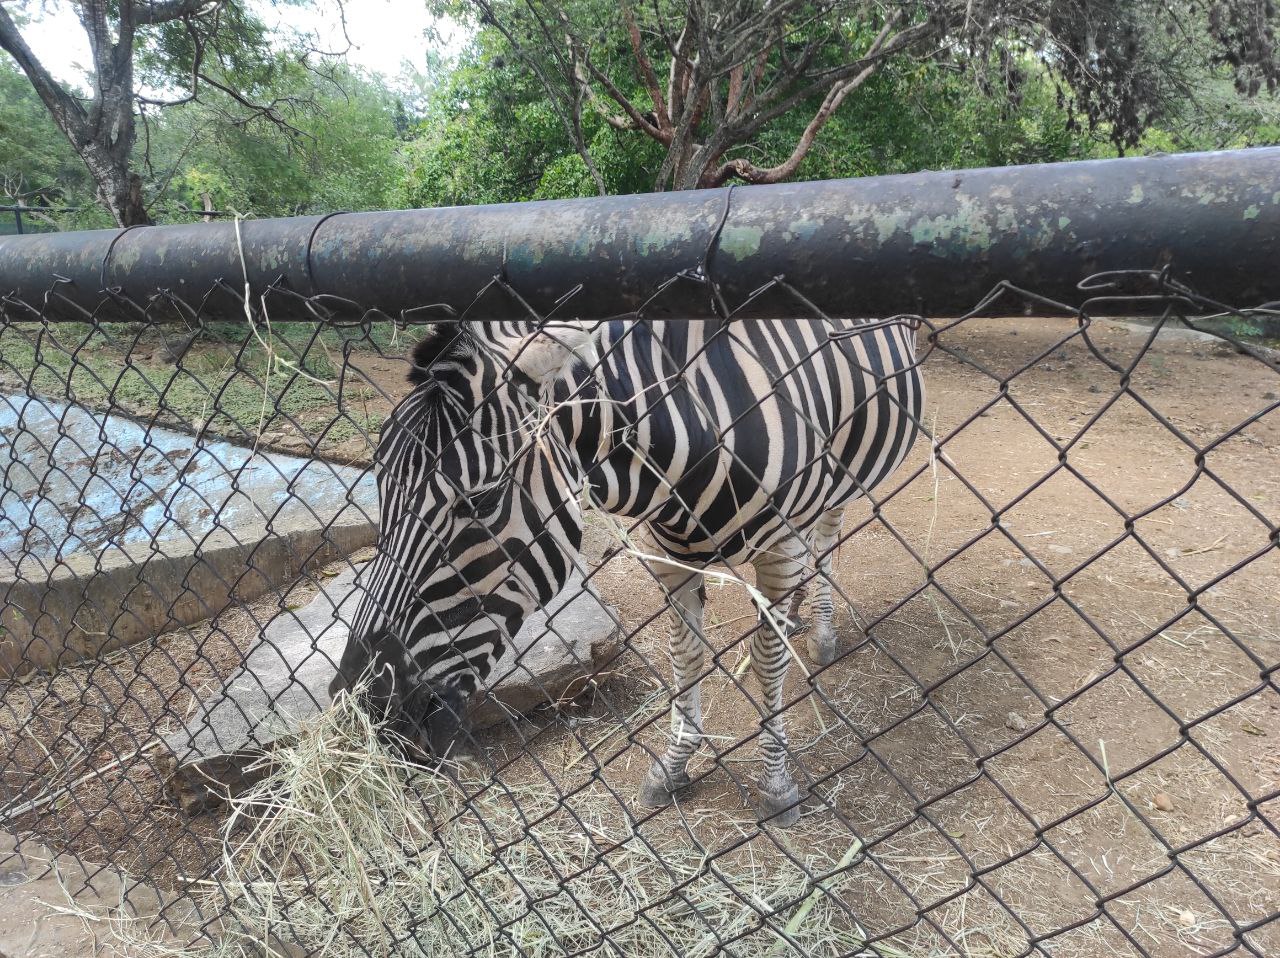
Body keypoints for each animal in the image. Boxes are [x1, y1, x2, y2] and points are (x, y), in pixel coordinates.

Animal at [332, 317, 921, 824]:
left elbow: (766, 660)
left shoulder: (779, 548)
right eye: (378, 484)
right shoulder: (669, 552)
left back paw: (820, 627)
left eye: (481, 501)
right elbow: (686, 655)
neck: (695, 426)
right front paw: (675, 765)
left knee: (828, 532)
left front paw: (775, 784)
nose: (362, 704)